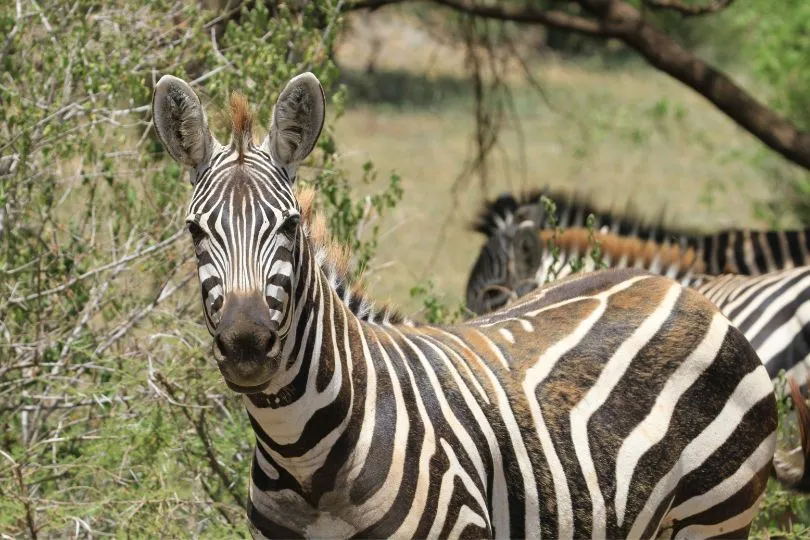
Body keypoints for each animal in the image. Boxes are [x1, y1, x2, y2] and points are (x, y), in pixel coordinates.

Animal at [153, 73, 808, 540]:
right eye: (194, 231)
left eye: (290, 226)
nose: (246, 344)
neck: (307, 458)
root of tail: (685, 288)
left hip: (717, 513)